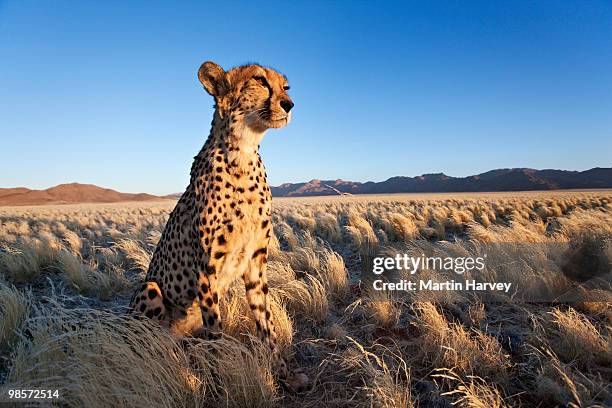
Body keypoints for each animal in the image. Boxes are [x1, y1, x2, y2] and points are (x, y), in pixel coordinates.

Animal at [130, 60, 308, 388]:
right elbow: (216, 330)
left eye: (285, 87)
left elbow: (266, 324)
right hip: (150, 289)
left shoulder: (255, 262)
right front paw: (220, 376)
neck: (243, 153)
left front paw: (283, 373)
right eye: (260, 80)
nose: (289, 104)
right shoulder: (206, 268)